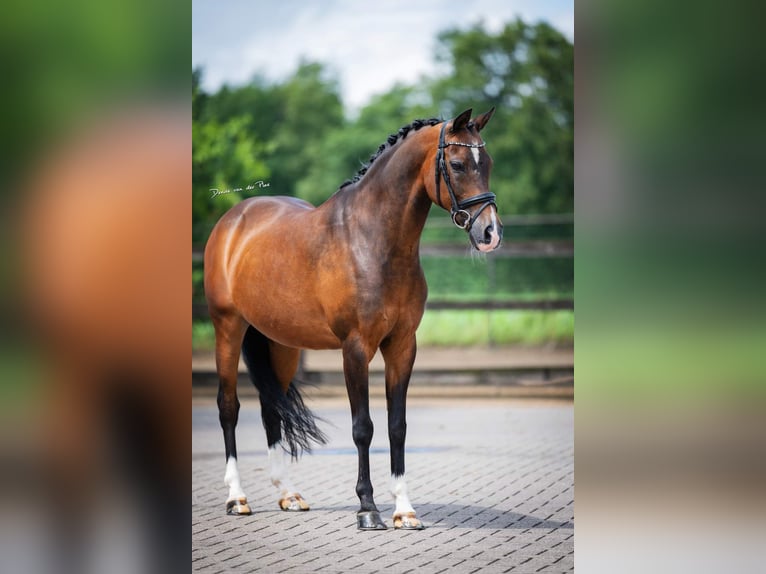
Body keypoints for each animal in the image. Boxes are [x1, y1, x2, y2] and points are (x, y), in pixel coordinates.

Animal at [204, 107, 504, 532]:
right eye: (459, 164)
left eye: (488, 163)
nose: (490, 232)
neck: (373, 241)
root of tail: (234, 220)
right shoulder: (356, 348)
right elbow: (363, 427)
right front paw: (368, 508)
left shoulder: (402, 345)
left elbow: (397, 426)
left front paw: (404, 510)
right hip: (228, 328)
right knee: (228, 407)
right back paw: (237, 498)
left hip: (281, 344)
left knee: (271, 408)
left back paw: (288, 495)